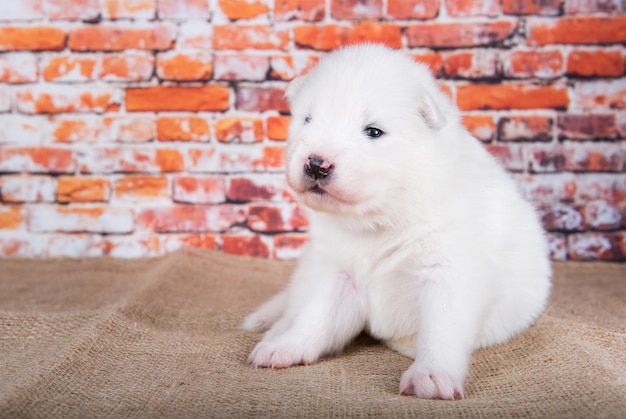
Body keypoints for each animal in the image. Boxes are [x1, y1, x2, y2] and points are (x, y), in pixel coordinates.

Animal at [241, 44, 548, 402]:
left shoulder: (448, 273)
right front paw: (288, 347)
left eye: (374, 131)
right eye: (307, 119)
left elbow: (440, 330)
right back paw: (274, 334)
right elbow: (315, 315)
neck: (379, 221)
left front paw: (431, 375)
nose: (316, 164)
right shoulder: (337, 272)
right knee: (293, 305)